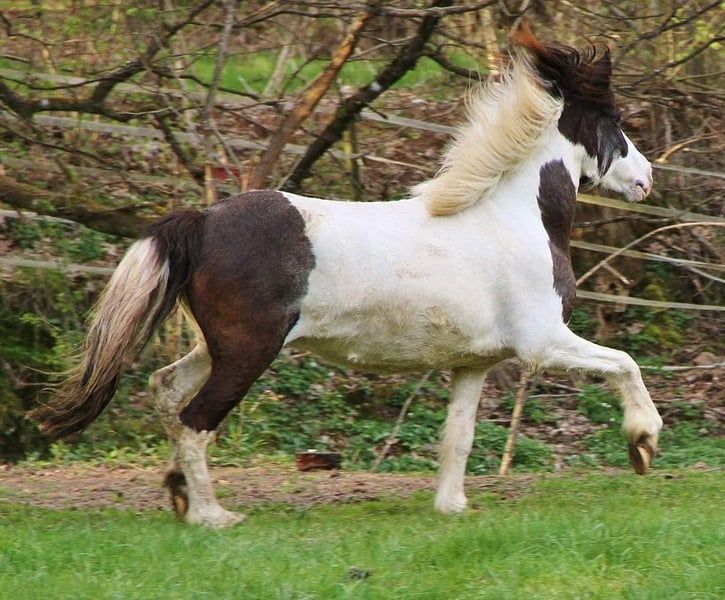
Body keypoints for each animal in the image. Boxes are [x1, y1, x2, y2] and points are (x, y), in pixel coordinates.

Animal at [31, 24, 663, 528]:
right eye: (615, 121)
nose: (647, 178)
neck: (512, 216)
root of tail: (202, 220)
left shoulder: (473, 362)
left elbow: (457, 437)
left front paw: (452, 508)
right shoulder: (543, 342)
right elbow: (625, 364)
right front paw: (643, 444)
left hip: (219, 347)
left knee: (166, 390)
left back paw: (181, 496)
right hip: (247, 353)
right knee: (195, 419)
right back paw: (213, 516)